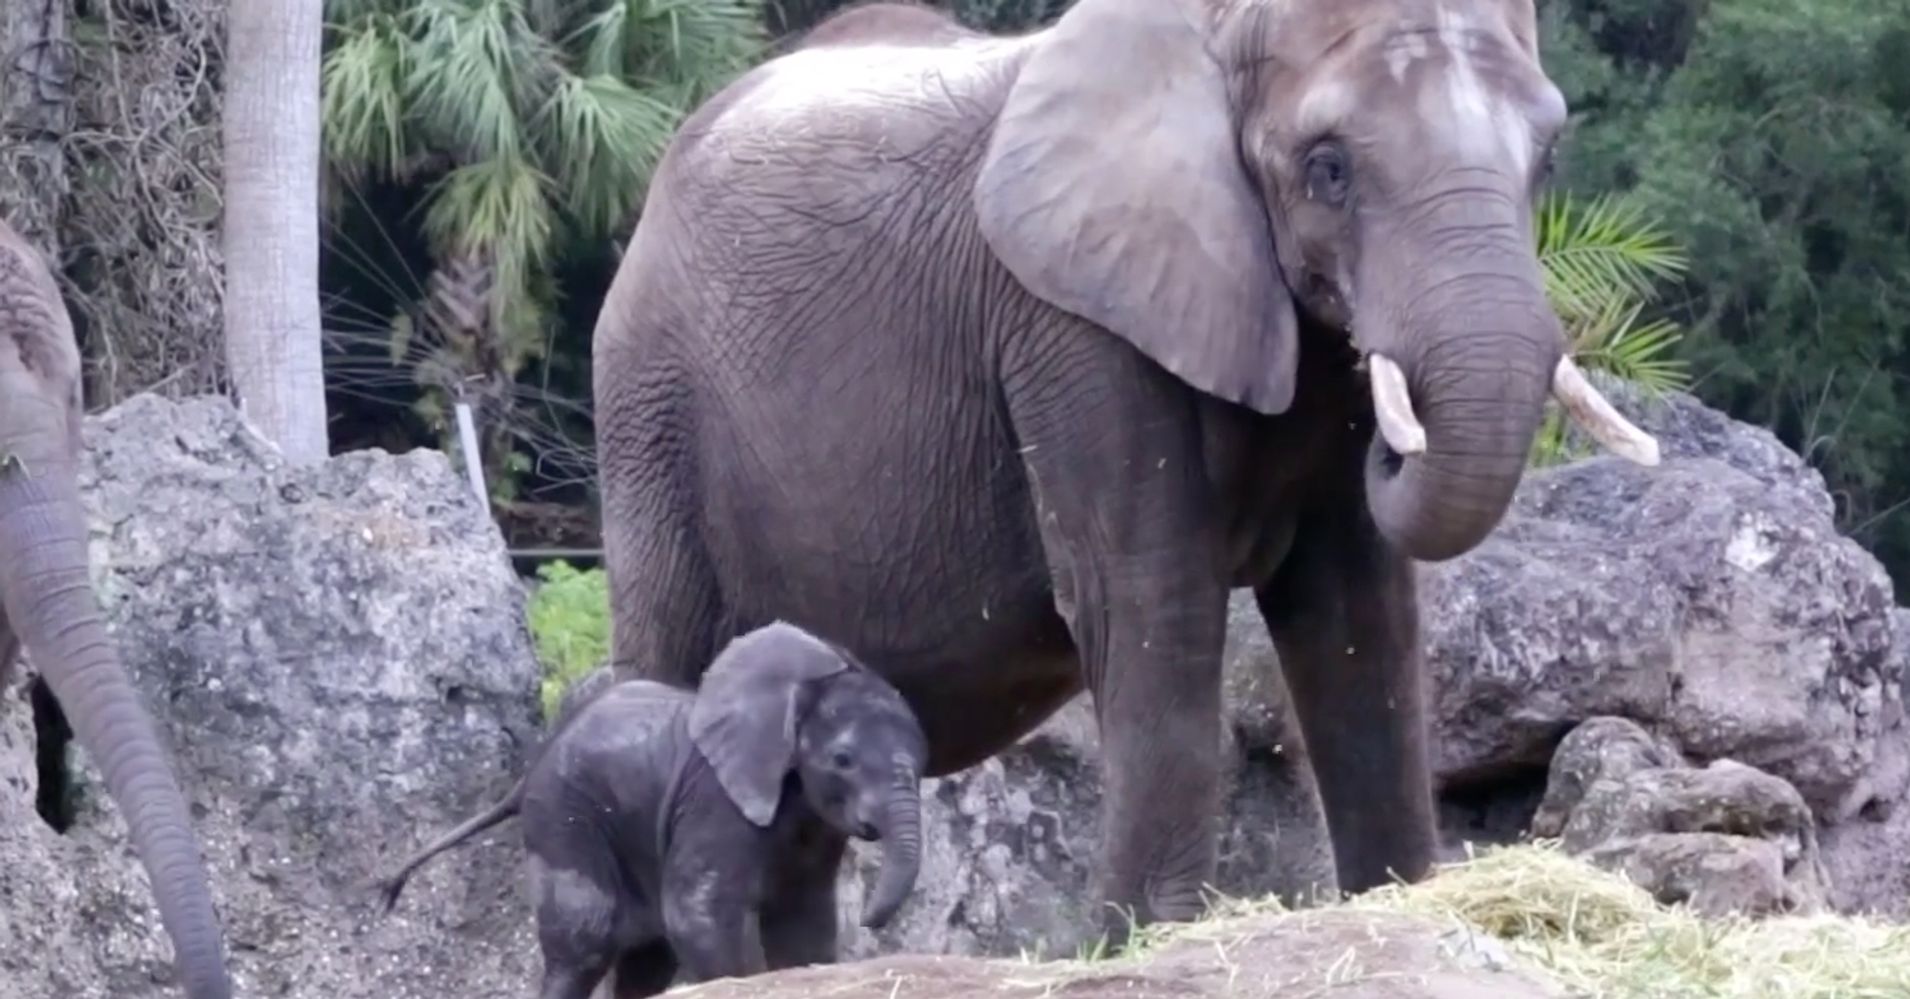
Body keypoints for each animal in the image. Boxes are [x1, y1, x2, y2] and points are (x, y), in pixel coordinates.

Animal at [370, 622, 924, 993]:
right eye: (843, 760)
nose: (873, 921)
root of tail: (529, 770)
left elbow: (802, 918)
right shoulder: (715, 799)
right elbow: (698, 914)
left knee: (645, 958)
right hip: (563, 816)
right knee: (584, 942)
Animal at [595, 0, 1657, 939]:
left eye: (1548, 158)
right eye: (1329, 169)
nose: (1399, 430)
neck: (1218, 33)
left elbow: (1357, 610)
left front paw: (1399, 900)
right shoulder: (1070, 324)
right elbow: (1151, 595)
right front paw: (1143, 935)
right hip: (650, 409)